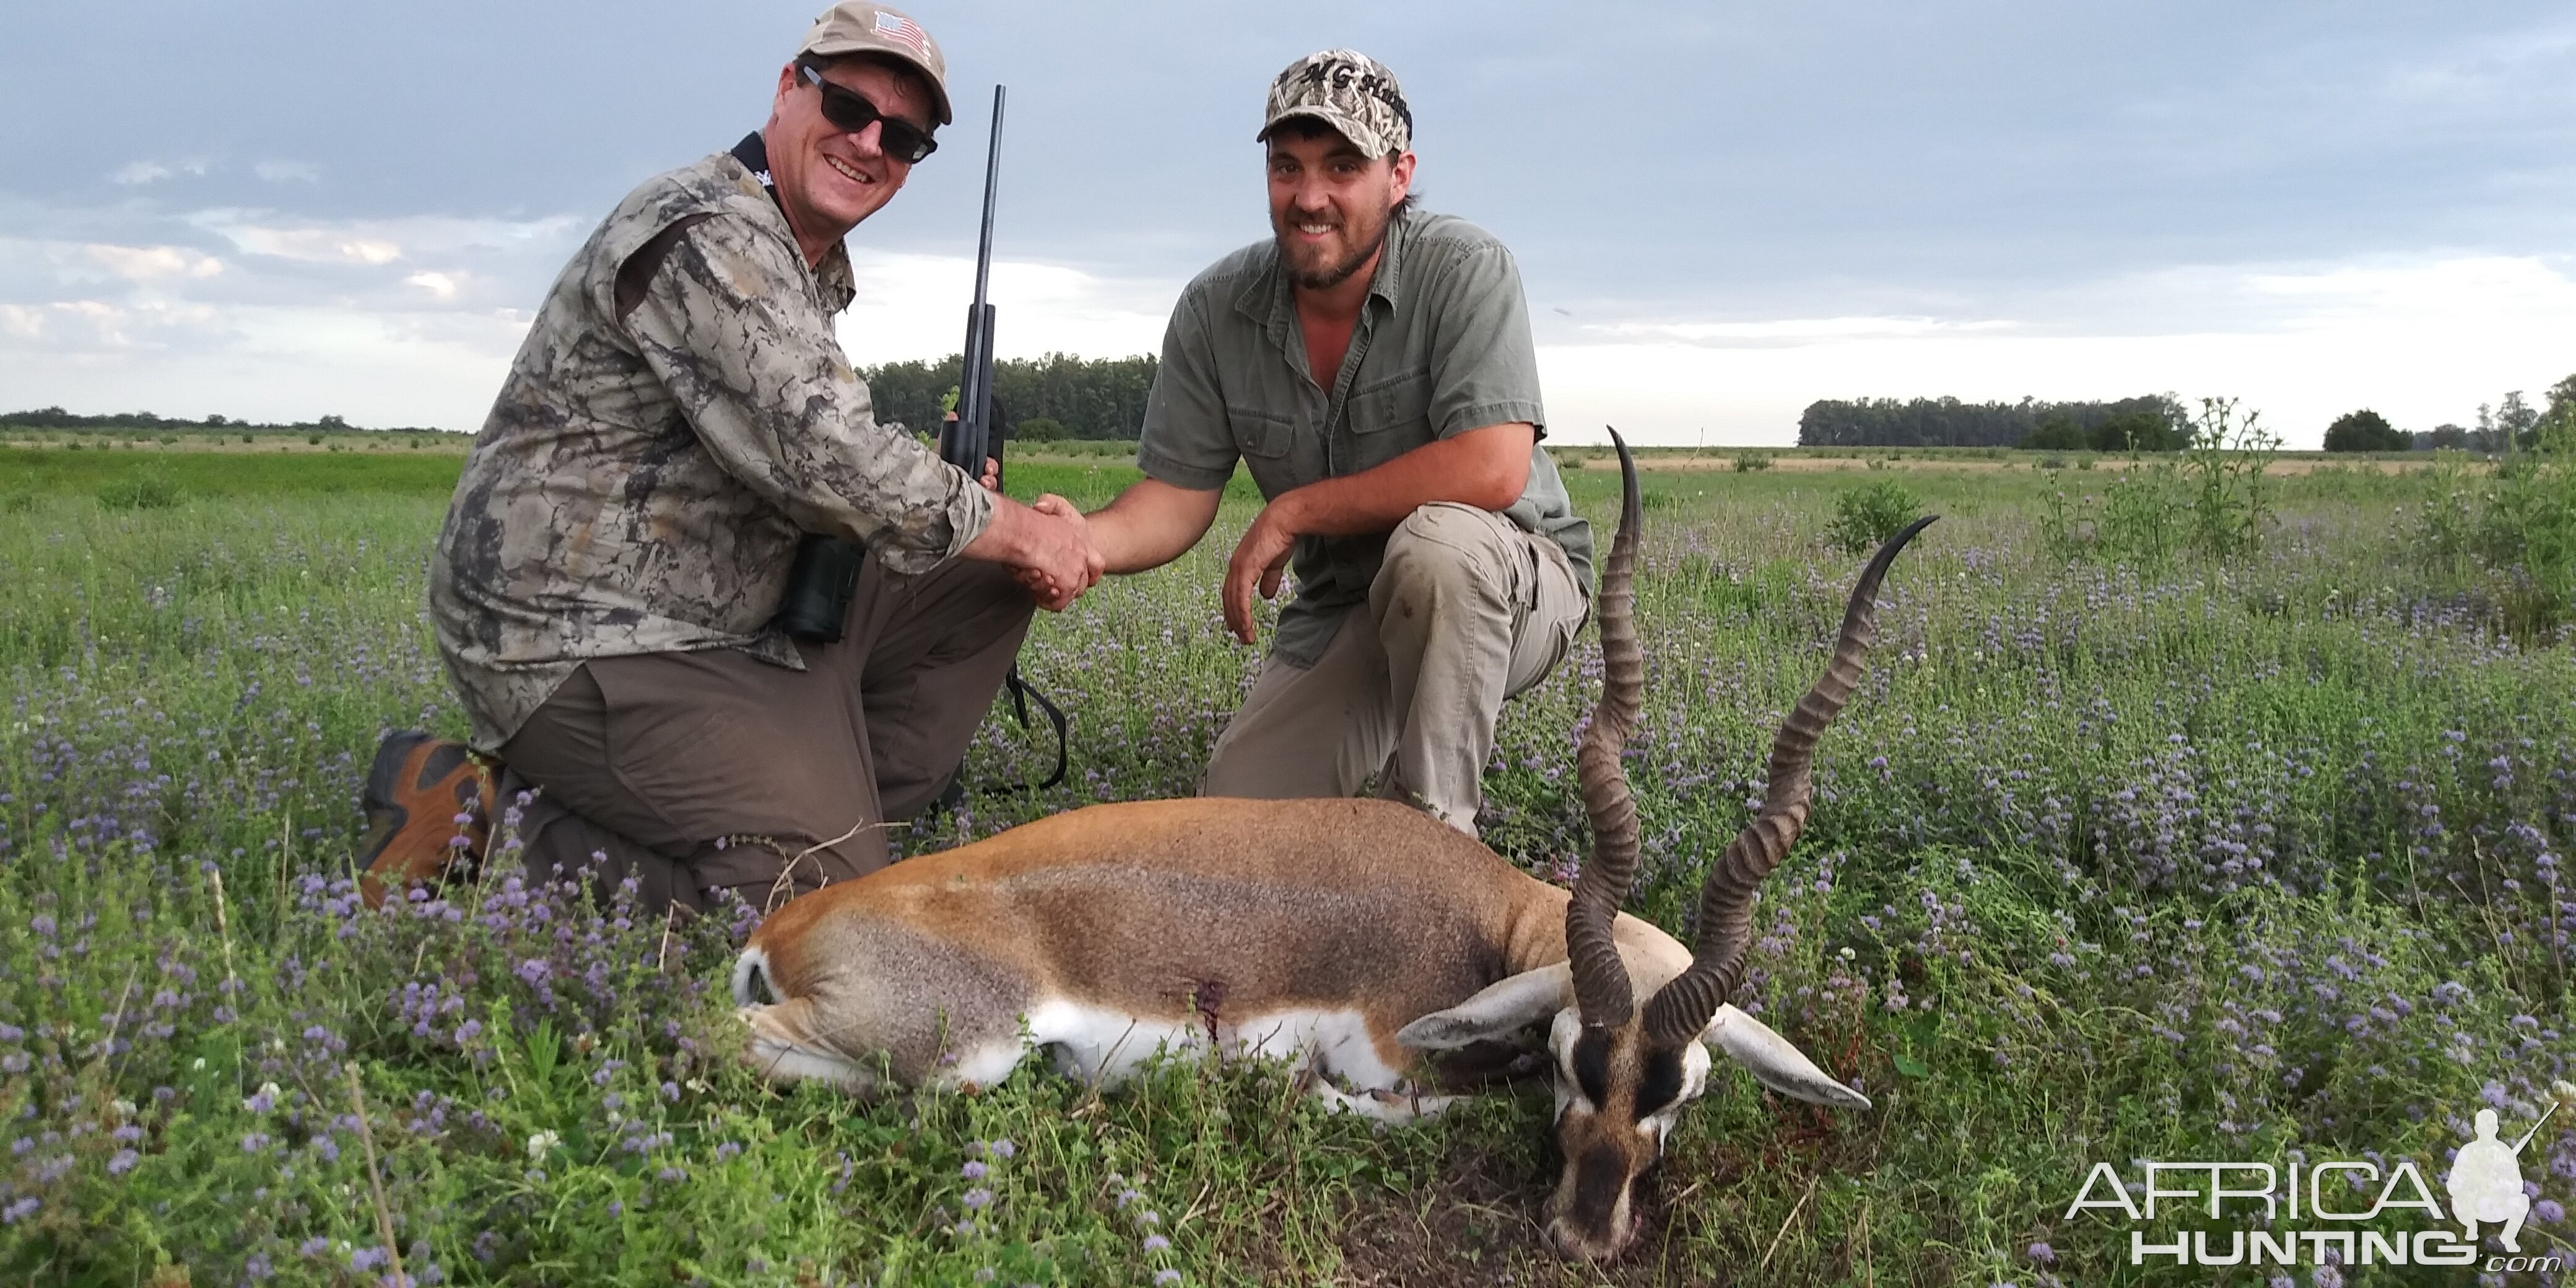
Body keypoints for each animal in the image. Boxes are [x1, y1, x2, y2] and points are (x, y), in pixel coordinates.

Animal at [731, 435, 1937, 1257]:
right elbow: (1423, 1099)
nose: (1582, 1237)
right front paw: (1311, 1097)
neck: (1489, 917)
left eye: (1680, 1094)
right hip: (966, 1047)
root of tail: (783, 927)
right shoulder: (1390, 1054)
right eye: (1569, 1062)